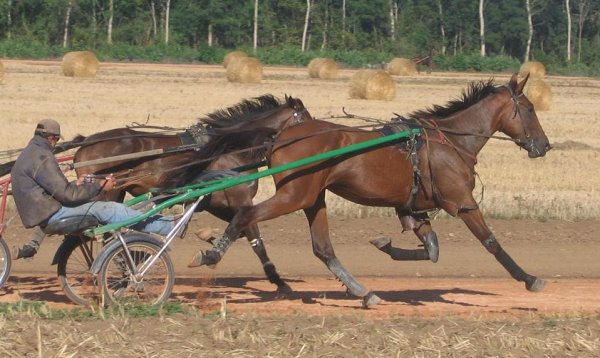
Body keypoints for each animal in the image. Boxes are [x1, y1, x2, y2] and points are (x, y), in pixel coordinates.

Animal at [72, 93, 312, 292]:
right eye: (306, 119)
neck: (232, 148)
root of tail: (86, 143)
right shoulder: (239, 196)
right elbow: (254, 237)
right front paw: (278, 280)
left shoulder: (216, 202)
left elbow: (238, 229)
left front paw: (207, 240)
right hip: (105, 193)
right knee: (105, 233)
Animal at [193, 75, 552, 308]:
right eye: (530, 108)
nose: (544, 145)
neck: (450, 142)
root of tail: (282, 136)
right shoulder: (461, 202)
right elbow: (490, 242)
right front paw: (529, 278)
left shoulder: (411, 208)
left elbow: (432, 249)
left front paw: (386, 245)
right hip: (295, 195)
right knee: (246, 214)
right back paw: (212, 253)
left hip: (312, 198)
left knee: (323, 249)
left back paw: (364, 292)